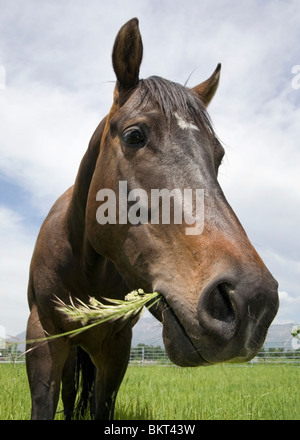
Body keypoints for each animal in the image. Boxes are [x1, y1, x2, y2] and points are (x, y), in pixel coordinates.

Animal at [25, 18, 278, 420]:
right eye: (134, 136)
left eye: (218, 156)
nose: (252, 302)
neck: (83, 265)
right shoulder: (43, 338)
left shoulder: (116, 348)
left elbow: (101, 404)